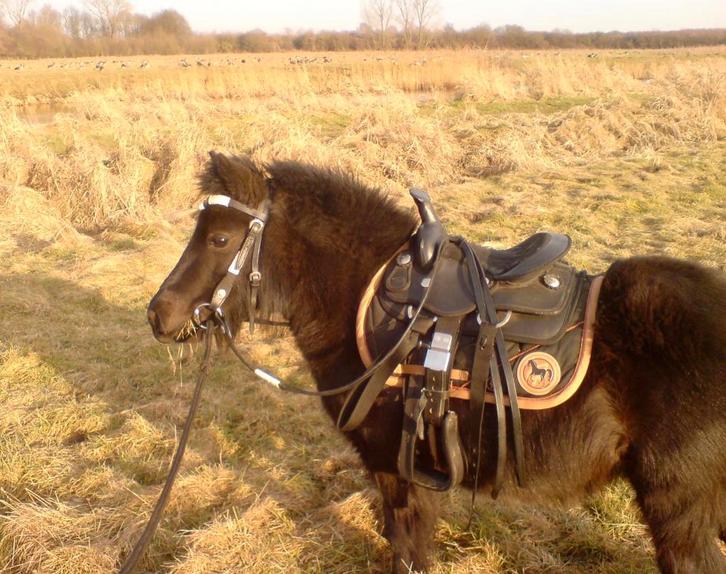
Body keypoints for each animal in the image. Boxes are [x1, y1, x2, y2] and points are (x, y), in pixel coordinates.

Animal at [147, 152, 726, 573]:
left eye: (220, 238)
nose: (158, 314)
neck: (363, 298)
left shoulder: (394, 466)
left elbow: (407, 546)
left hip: (679, 508)